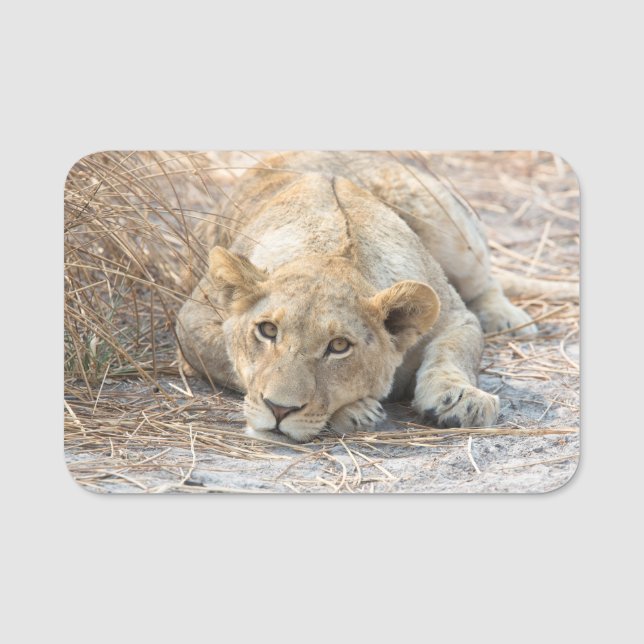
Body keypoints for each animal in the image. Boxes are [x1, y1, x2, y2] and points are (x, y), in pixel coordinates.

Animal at [175, 151, 537, 442]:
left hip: (448, 227)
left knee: (485, 280)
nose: (278, 409)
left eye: (339, 346)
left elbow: (455, 350)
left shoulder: (455, 316)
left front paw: (462, 399)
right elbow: (227, 359)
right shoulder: (191, 322)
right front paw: (356, 410)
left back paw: (508, 318)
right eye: (267, 330)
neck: (333, 249)